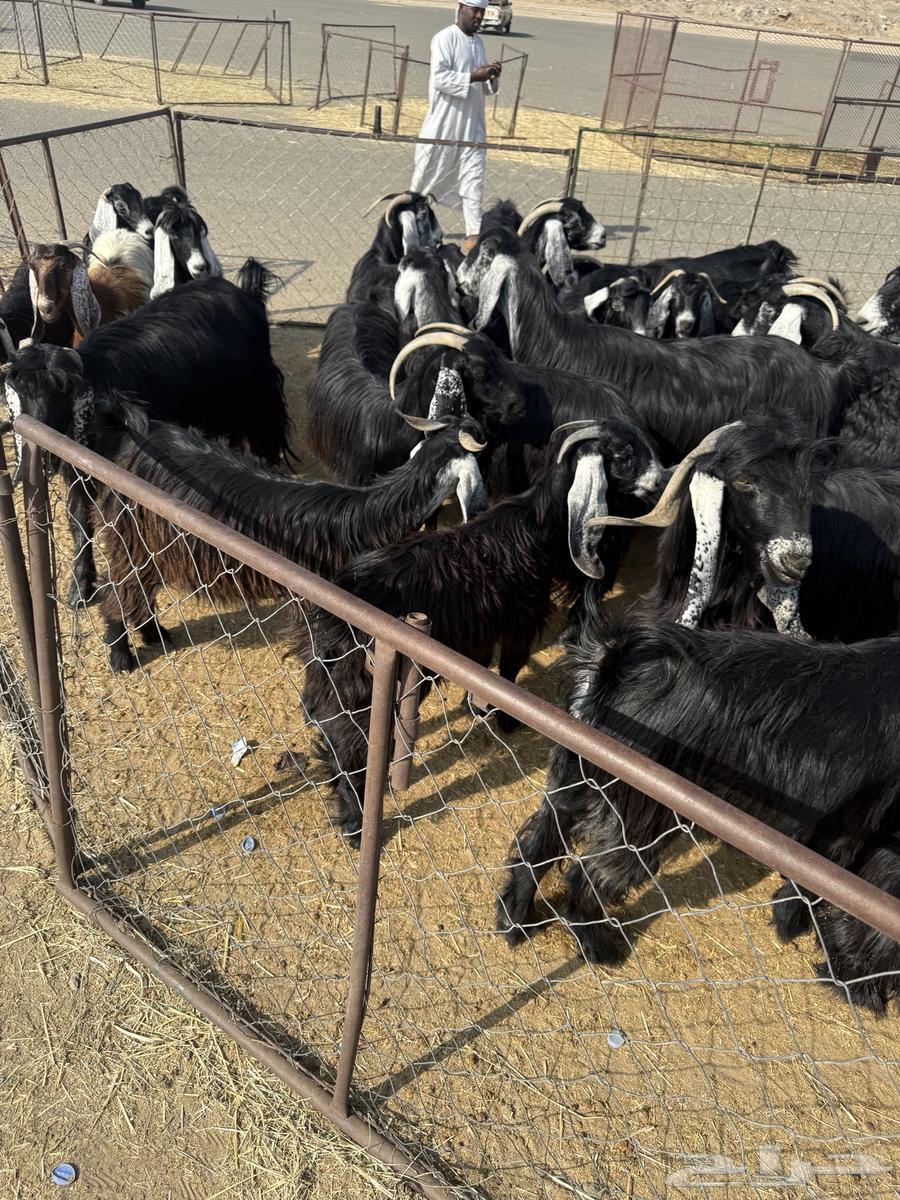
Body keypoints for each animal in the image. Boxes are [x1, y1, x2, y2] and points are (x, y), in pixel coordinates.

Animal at [3, 260, 288, 607]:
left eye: (62, 389)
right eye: (20, 389)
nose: (42, 447)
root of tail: (242, 291)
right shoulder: (77, 471)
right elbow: (78, 523)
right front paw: (79, 588)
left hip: (262, 401)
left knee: (267, 440)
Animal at [91, 409, 487, 673]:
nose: (482, 506)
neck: (363, 519)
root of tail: (134, 438)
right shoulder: (319, 603)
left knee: (140, 585)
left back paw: (153, 634)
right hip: (128, 533)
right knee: (118, 586)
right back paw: (121, 655)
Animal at [296, 419, 662, 842]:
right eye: (624, 453)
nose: (660, 480)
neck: (538, 523)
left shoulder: (483, 629)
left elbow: (483, 664)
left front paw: (472, 705)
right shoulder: (522, 619)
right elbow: (511, 667)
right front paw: (507, 720)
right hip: (364, 687)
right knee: (351, 745)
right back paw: (356, 824)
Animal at [497, 613, 900, 1012]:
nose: (865, 997)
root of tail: (609, 661)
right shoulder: (850, 828)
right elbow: (819, 887)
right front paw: (797, 929)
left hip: (572, 784)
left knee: (536, 848)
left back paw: (514, 921)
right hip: (636, 823)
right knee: (585, 877)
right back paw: (597, 947)